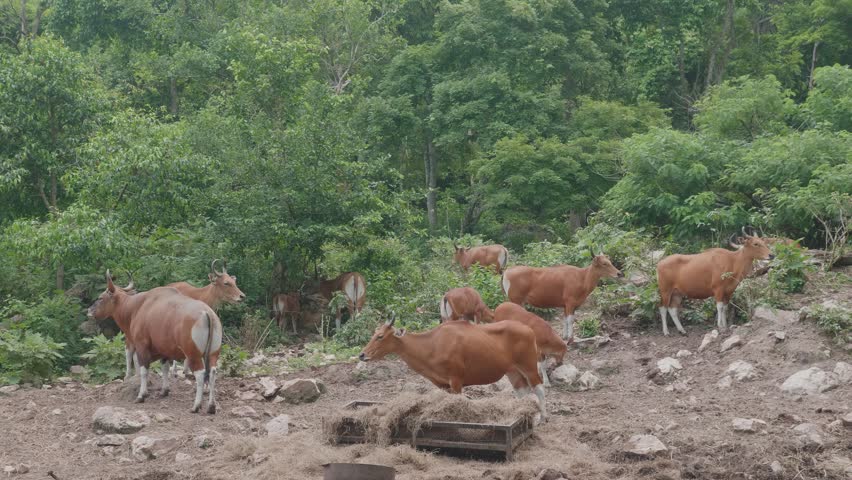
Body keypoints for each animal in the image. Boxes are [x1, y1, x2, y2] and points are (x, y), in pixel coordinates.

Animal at [87, 271, 222, 413]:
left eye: (101, 298)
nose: (89, 311)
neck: (136, 307)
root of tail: (207, 313)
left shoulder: (141, 346)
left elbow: (143, 370)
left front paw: (141, 395)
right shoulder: (164, 350)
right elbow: (165, 369)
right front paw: (164, 391)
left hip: (193, 355)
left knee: (200, 374)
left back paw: (196, 406)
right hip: (213, 353)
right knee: (212, 373)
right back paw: (211, 406)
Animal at [358, 315, 547, 420]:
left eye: (380, 336)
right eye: (374, 334)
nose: (362, 354)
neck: (432, 344)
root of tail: (529, 329)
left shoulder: (456, 380)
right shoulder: (442, 384)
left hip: (529, 366)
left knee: (539, 389)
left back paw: (542, 418)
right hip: (512, 371)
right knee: (522, 392)